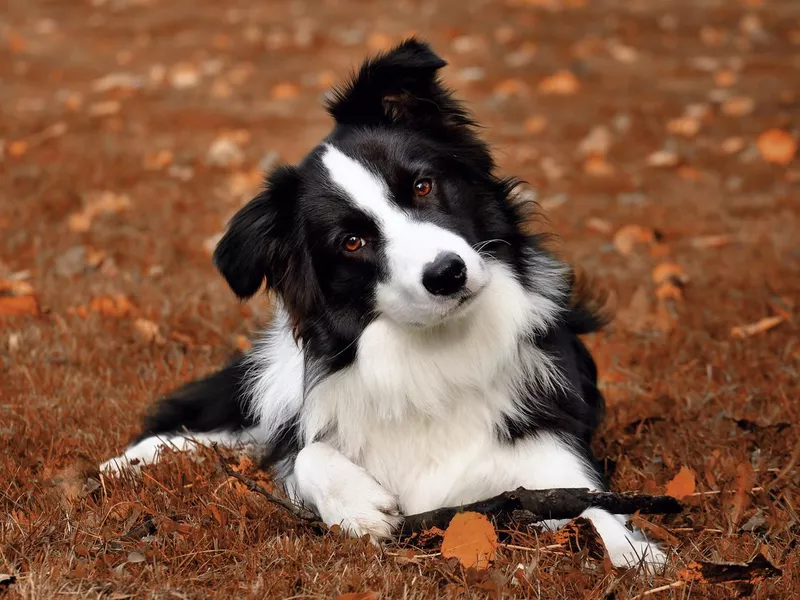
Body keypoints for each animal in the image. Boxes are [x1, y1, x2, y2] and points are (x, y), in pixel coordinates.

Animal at [103, 38, 664, 572]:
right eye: (352, 242)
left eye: (422, 185)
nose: (447, 273)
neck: (441, 351)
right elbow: (304, 451)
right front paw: (357, 504)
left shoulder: (554, 456)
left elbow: (599, 512)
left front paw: (636, 557)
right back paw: (125, 462)